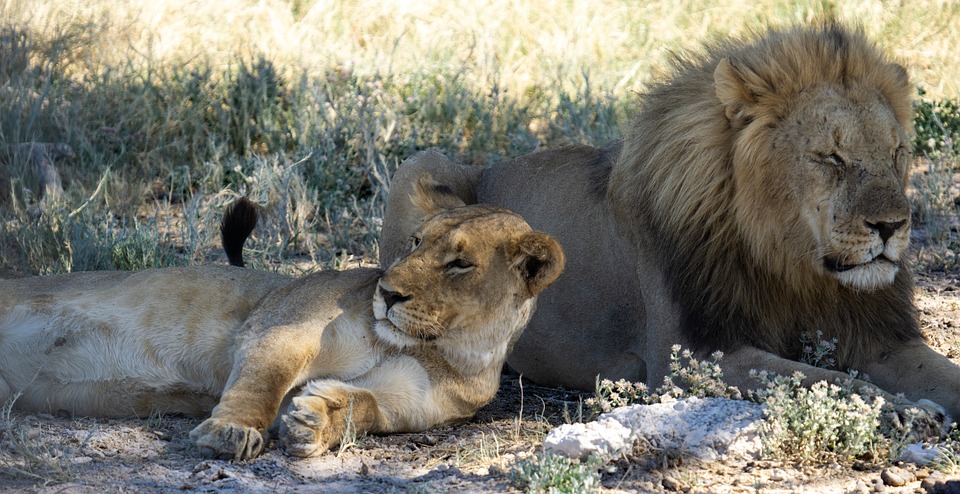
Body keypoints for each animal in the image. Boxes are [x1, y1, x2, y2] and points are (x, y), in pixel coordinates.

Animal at [0, 176, 564, 460]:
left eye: (460, 264)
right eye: (415, 242)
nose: (387, 293)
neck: (443, 345)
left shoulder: (410, 402)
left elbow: (367, 407)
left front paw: (316, 421)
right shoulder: (286, 325)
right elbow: (264, 381)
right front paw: (230, 433)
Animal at [381, 21, 960, 428]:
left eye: (896, 153)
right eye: (830, 157)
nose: (892, 226)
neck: (791, 264)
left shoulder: (882, 340)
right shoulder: (693, 358)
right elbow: (829, 381)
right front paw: (904, 410)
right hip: (419, 164)